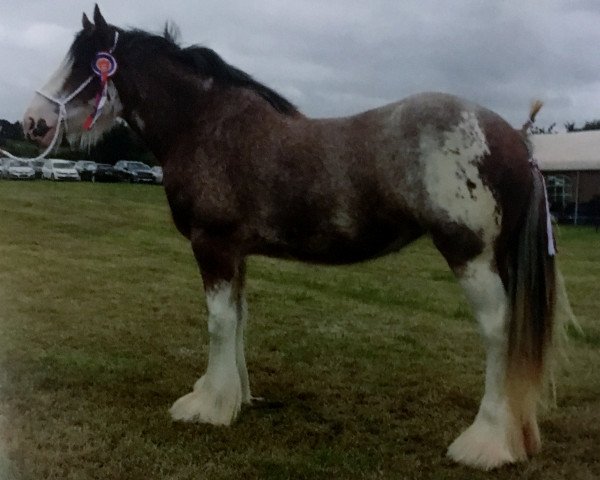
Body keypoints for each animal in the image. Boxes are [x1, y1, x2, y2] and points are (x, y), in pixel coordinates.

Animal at [22, 5, 572, 470]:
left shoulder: (212, 246)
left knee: (499, 332)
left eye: (85, 64)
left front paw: (207, 407)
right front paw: (234, 397)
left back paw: (486, 443)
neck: (205, 126)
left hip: (470, 256)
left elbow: (218, 323)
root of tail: (516, 141)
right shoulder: (236, 253)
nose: (33, 122)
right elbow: (238, 320)